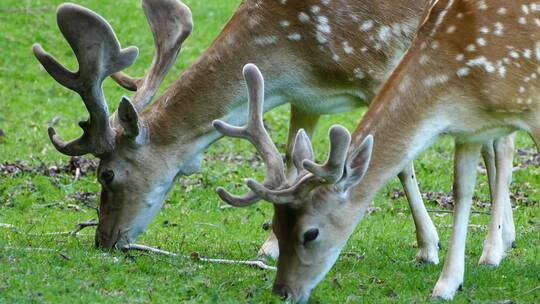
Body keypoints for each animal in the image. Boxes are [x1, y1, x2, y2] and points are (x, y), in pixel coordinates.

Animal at [33, 0, 516, 266]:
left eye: (107, 174)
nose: (104, 239)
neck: (291, 57)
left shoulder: (379, 68)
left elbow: (399, 163)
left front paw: (427, 247)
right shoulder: (307, 99)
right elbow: (289, 159)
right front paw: (270, 244)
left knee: (502, 141)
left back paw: (492, 247)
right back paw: (506, 237)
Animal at [213, 1, 540, 302]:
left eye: (310, 233)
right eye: (275, 226)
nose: (282, 291)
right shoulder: (470, 127)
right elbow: (462, 189)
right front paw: (446, 285)